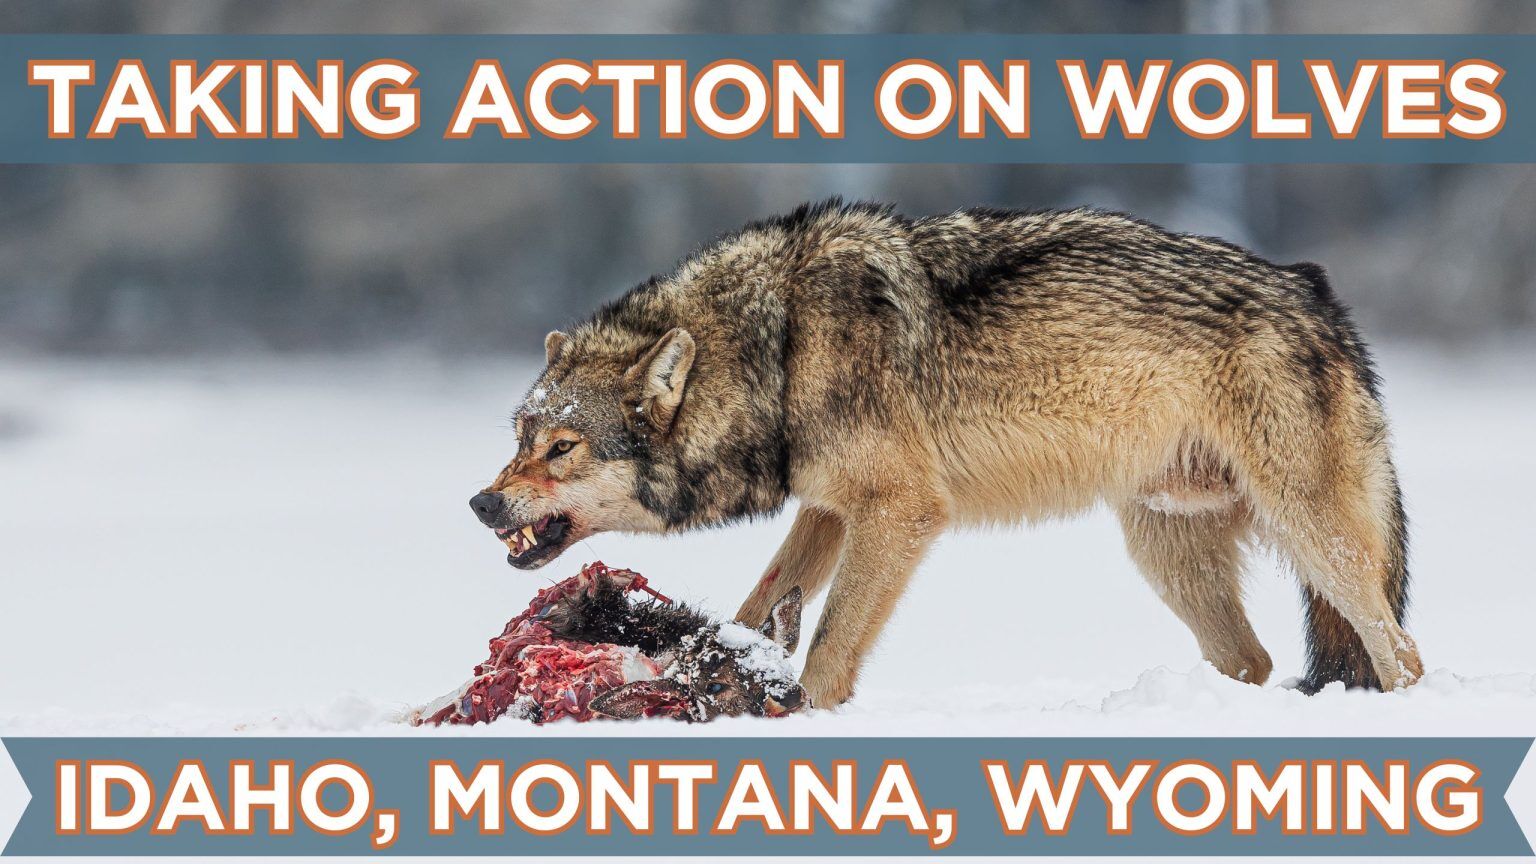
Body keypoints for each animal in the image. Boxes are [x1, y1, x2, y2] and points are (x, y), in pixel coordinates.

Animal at [468, 199, 1423, 708]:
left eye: (562, 448)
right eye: (520, 439)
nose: (480, 503)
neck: (778, 347)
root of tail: (1316, 292)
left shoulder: (899, 511)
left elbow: (830, 649)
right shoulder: (828, 510)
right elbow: (758, 604)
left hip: (1310, 536)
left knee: (1398, 653)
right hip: (1167, 551)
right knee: (1253, 661)